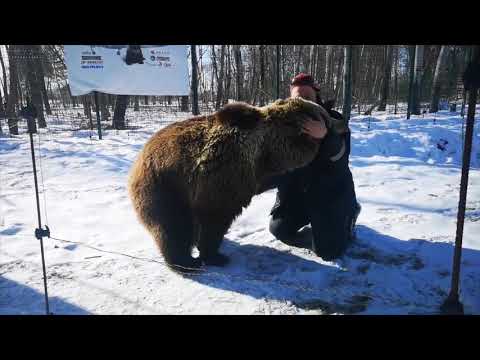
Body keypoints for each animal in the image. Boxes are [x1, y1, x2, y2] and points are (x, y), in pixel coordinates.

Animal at [127, 97, 344, 272]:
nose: (340, 122)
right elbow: (214, 220)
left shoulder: (258, 174)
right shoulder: (223, 179)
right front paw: (215, 256)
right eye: (324, 115)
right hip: (166, 188)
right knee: (173, 227)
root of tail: (138, 160)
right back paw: (185, 262)